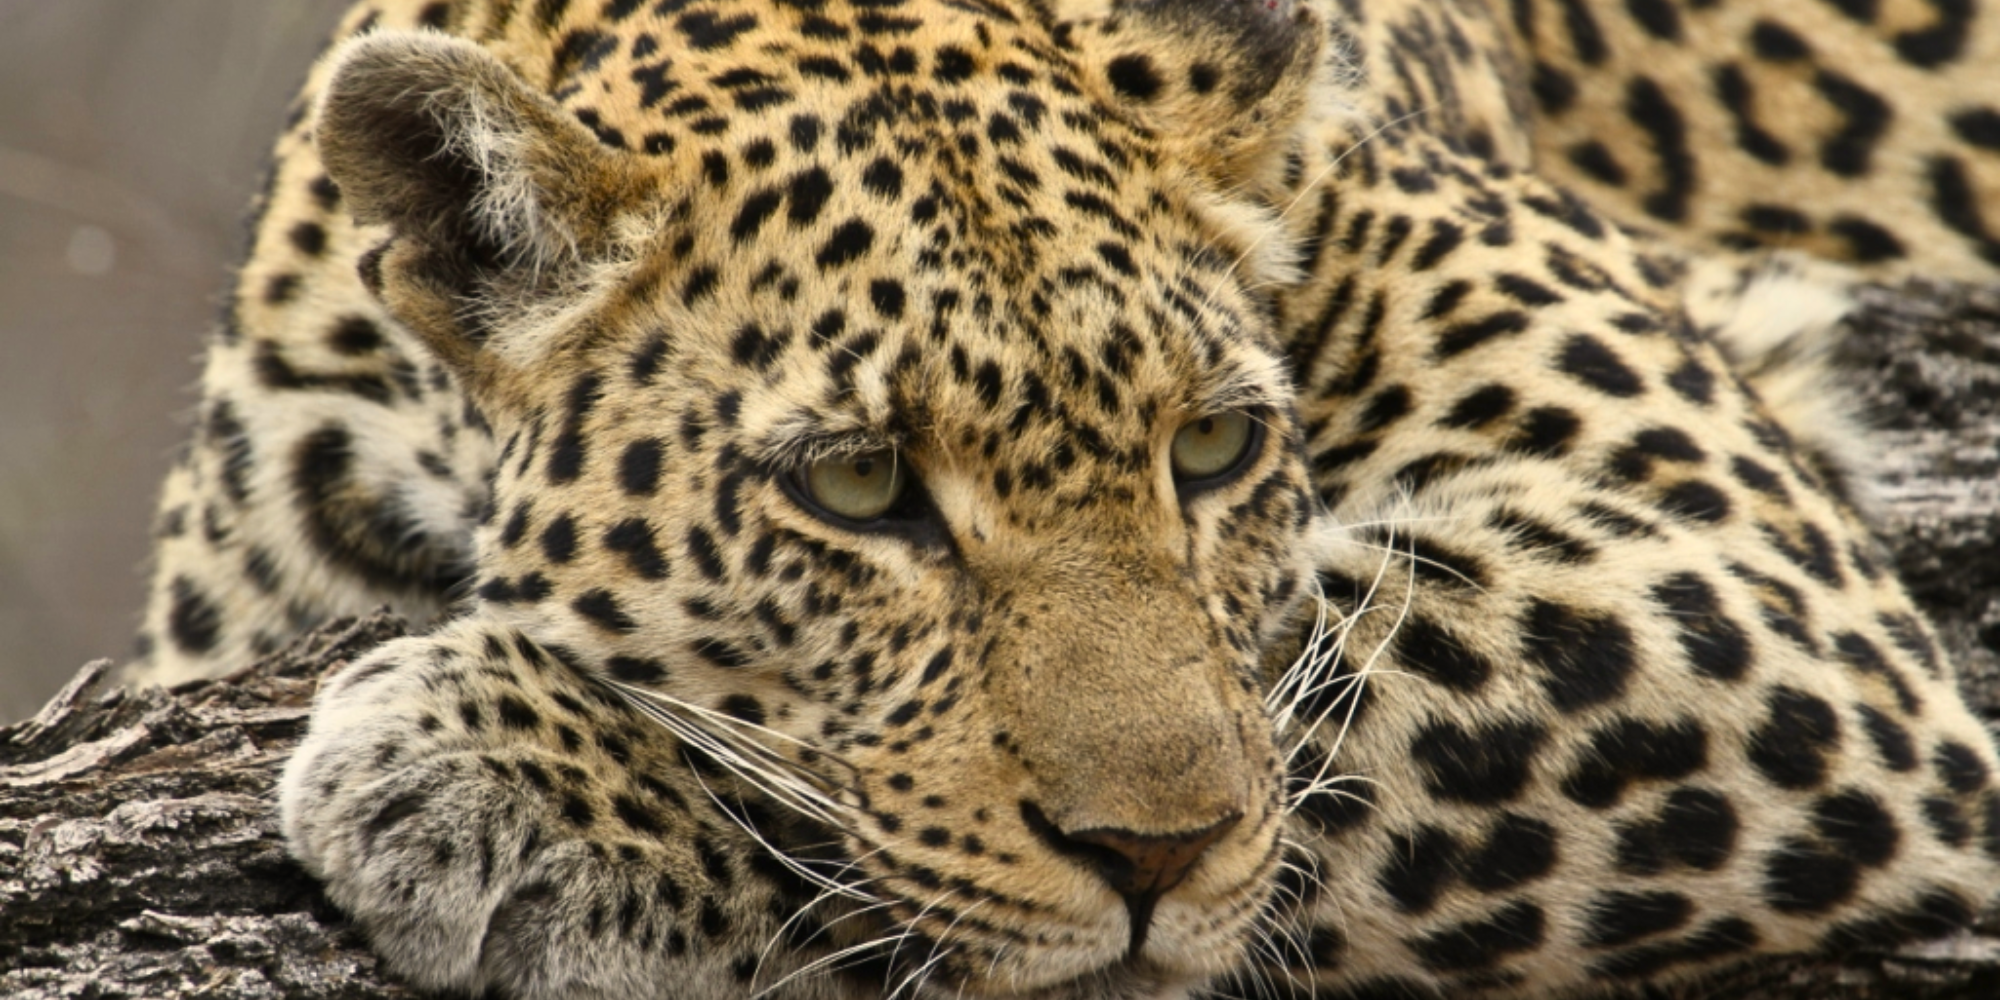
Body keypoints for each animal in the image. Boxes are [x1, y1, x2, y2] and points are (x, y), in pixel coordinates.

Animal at [119, 0, 2000, 996]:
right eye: (861, 484)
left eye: (1216, 452)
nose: (1155, 858)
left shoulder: (1755, 579)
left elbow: (1333, 699)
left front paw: (499, 776)